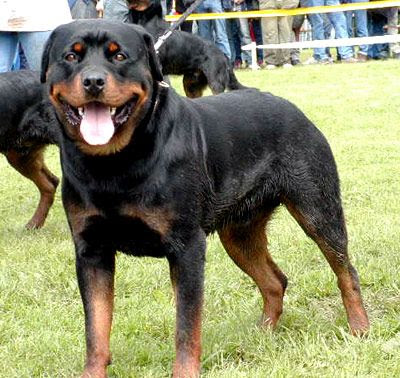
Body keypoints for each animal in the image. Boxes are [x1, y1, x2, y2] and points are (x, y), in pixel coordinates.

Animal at [40, 19, 368, 378]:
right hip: (238, 234)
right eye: (71, 56)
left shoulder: (187, 247)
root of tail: (292, 108)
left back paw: (359, 329)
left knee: (345, 270)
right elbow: (96, 330)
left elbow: (186, 327)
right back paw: (263, 333)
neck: (115, 163)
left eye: (120, 56)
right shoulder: (92, 251)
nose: (93, 81)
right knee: (275, 281)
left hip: (318, 209)